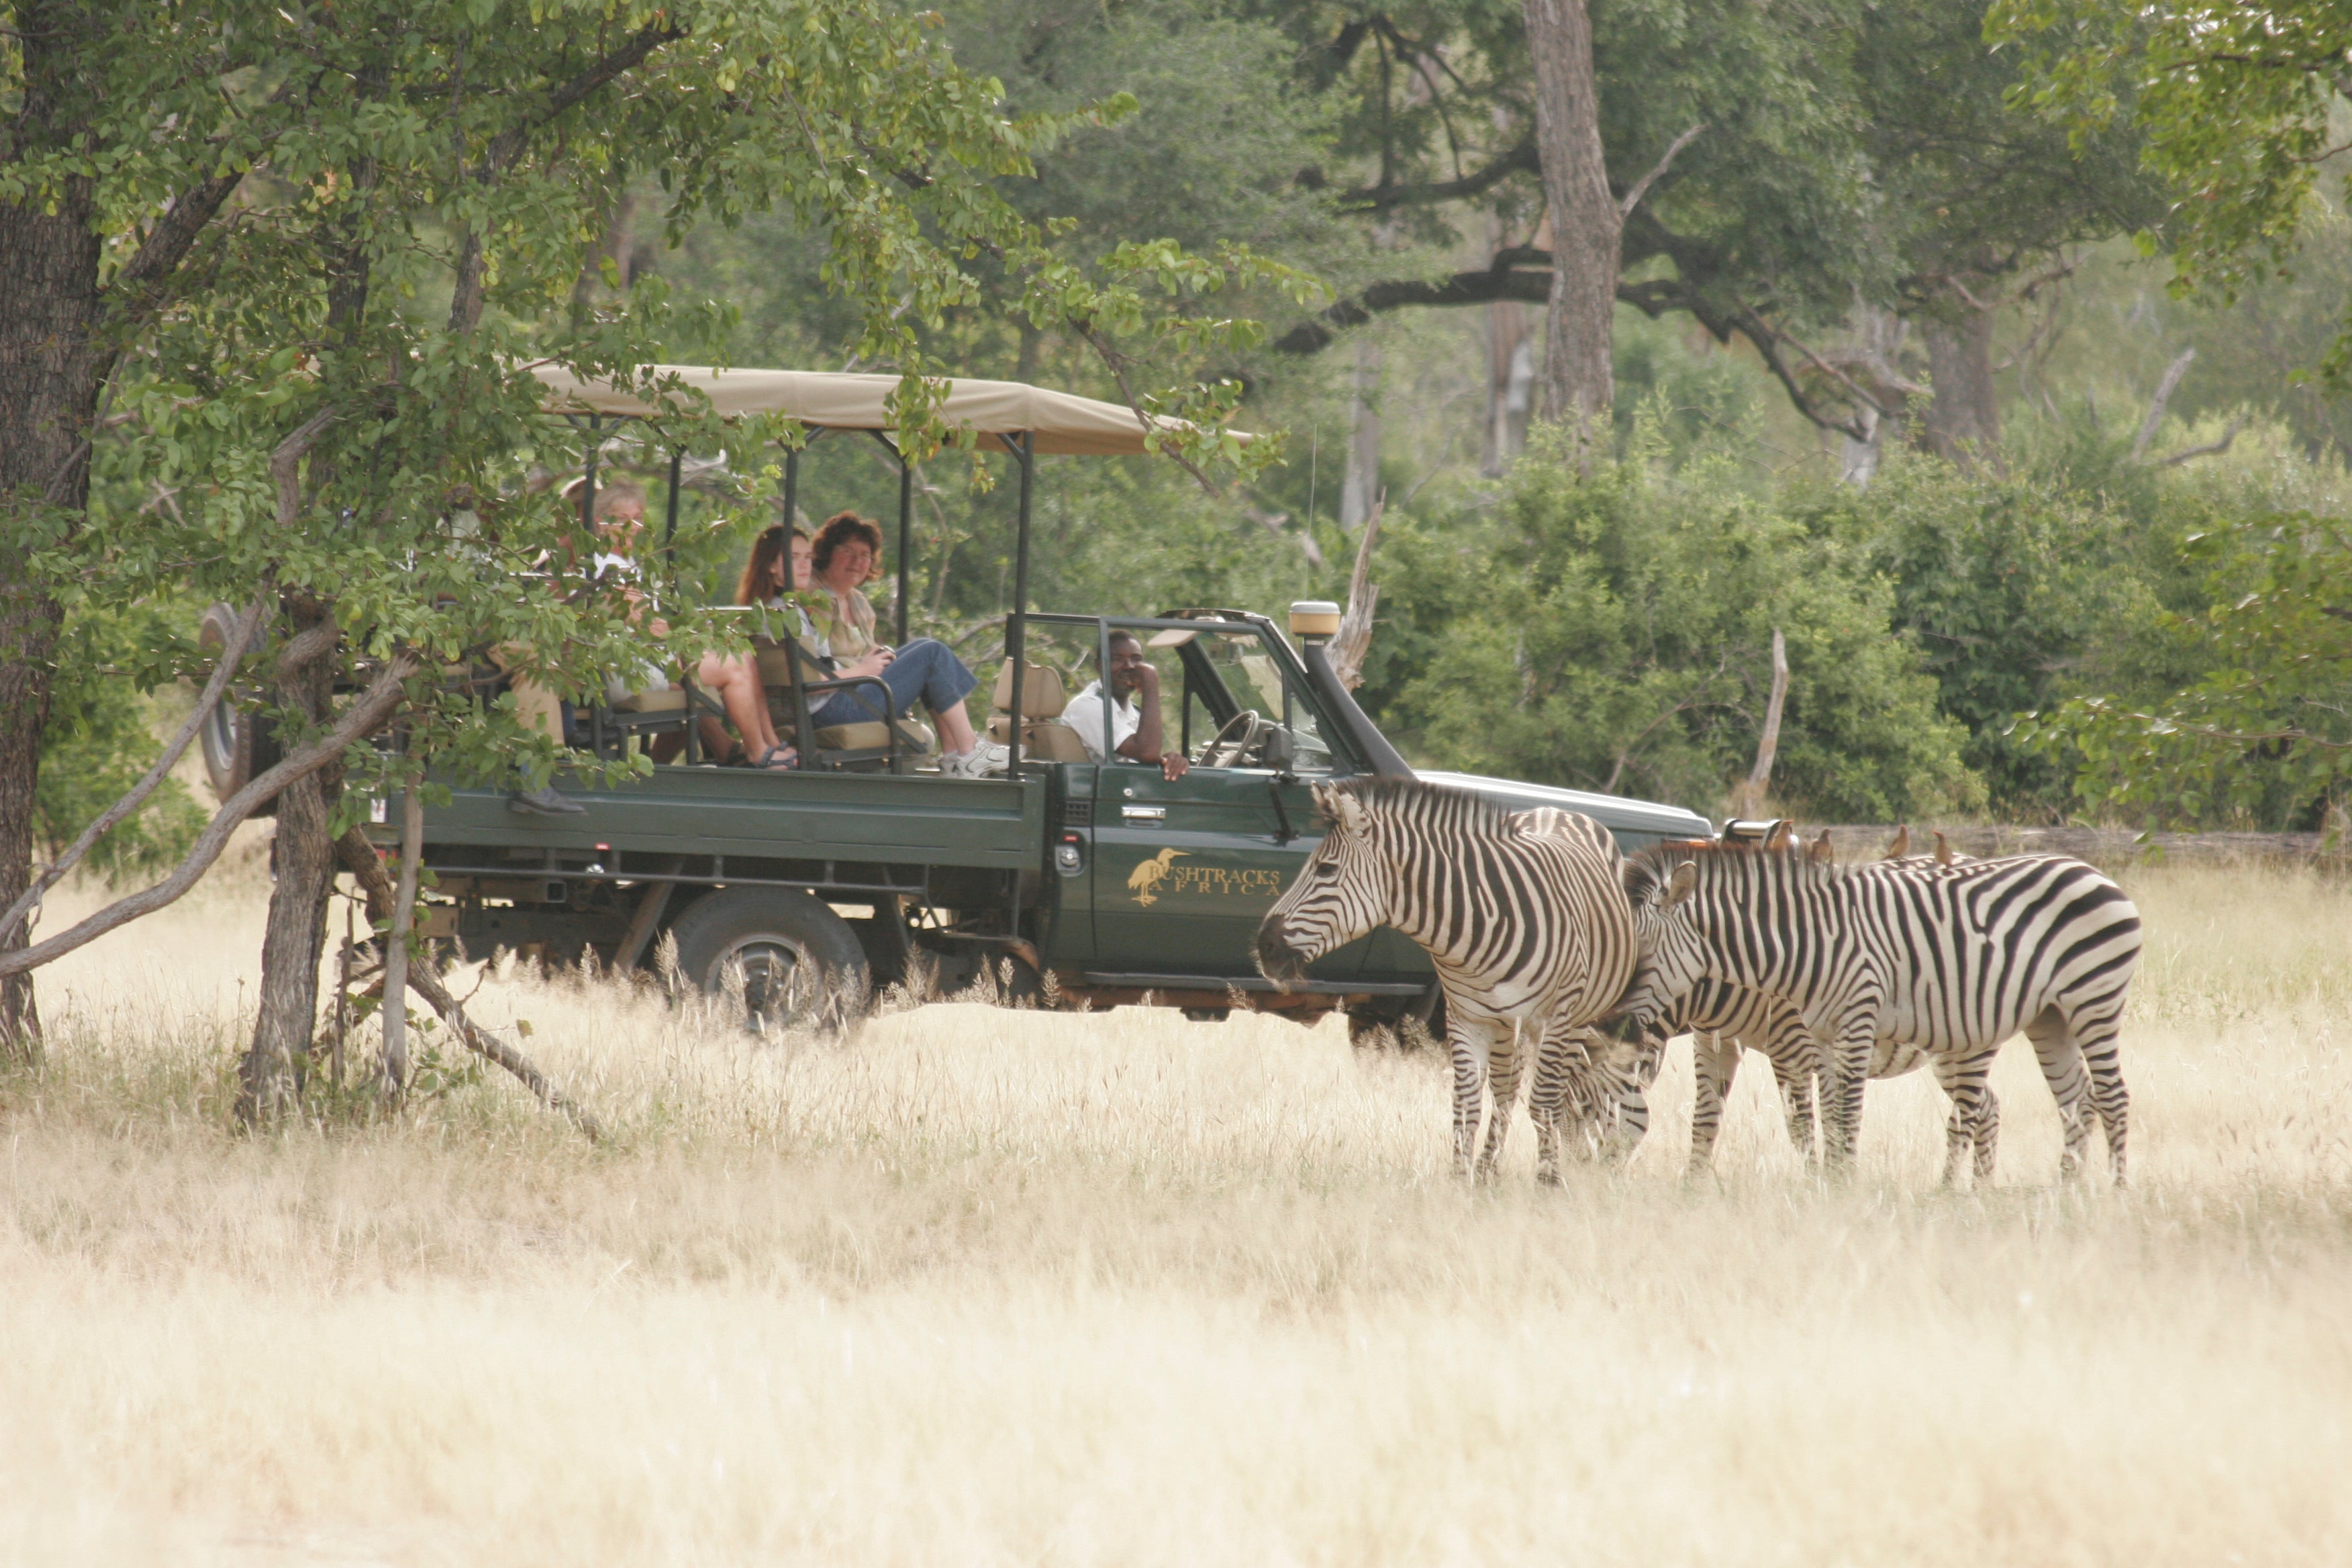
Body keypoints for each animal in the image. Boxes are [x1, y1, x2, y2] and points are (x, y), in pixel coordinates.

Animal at [1256, 778, 1641, 1184]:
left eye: (1326, 869)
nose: (1264, 946)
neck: (1479, 921)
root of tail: (1556, 809)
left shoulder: (1554, 1018)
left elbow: (1543, 1103)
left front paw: (1548, 1180)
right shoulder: (1466, 1018)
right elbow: (1467, 1105)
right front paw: (1461, 1179)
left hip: (1575, 1018)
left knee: (1559, 1089)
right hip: (1506, 1025)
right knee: (1506, 1090)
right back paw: (1490, 1170)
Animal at [1606, 840, 2139, 1184]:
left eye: (1642, 955)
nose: (1613, 1024)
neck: (1800, 946)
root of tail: (2092, 871)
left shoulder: (1837, 1030)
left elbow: (1831, 1119)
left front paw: (1836, 1188)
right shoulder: (1795, 1038)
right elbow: (1719, 1118)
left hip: (2088, 1000)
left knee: (2105, 1099)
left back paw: (2109, 1198)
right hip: (2045, 1018)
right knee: (2067, 1102)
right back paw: (2048, 1197)